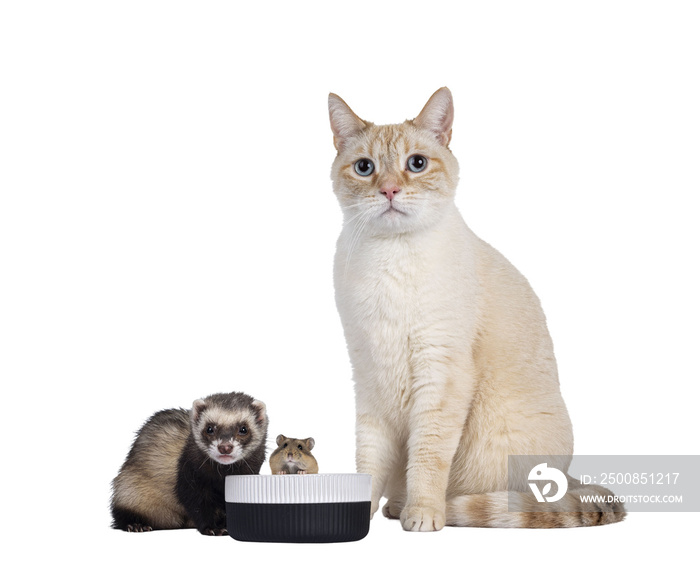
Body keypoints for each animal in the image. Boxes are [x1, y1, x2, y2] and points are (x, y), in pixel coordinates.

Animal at [112, 390, 268, 532]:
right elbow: (198, 505)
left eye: (243, 429)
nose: (225, 447)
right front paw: (213, 528)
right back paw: (136, 525)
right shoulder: (190, 476)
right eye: (209, 428)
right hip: (130, 492)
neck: (220, 477)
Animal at [328, 87, 624, 528]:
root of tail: (569, 478)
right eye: (365, 168)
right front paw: (358, 513)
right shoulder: (369, 377)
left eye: (416, 164)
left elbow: (427, 458)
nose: (390, 190)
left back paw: (419, 508)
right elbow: (370, 462)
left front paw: (423, 514)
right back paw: (395, 506)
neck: (389, 257)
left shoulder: (440, 374)